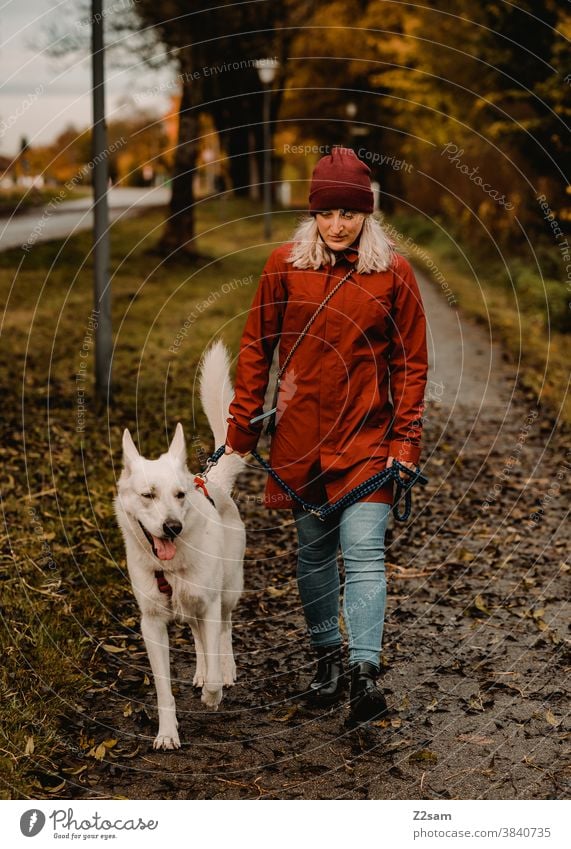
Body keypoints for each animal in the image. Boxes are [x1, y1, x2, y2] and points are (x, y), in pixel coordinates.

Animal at [114, 340, 246, 748]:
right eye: (148, 495)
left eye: (179, 495)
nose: (172, 527)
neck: (169, 568)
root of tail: (211, 481)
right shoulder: (152, 624)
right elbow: (163, 690)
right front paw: (167, 733)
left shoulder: (210, 602)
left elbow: (216, 649)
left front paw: (214, 693)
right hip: (192, 607)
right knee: (200, 637)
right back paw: (202, 670)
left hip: (228, 589)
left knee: (224, 630)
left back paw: (225, 669)